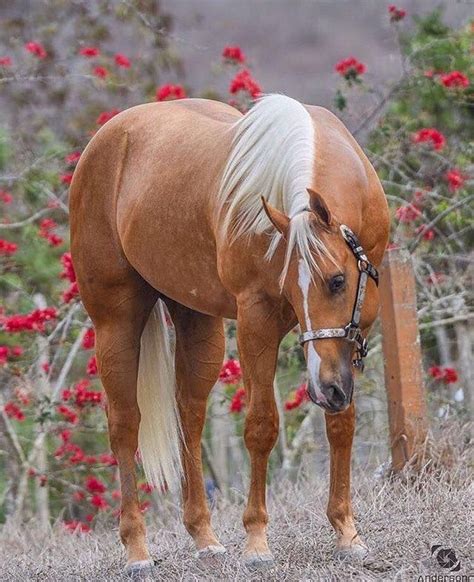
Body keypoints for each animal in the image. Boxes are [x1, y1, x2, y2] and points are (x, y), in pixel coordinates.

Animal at [70, 93, 388, 572]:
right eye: (290, 289)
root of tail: (107, 139)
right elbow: (261, 425)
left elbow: (342, 423)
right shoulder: (257, 320)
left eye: (337, 281)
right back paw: (137, 550)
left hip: (197, 322)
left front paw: (346, 532)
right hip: (115, 323)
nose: (323, 389)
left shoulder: (349, 340)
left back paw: (204, 537)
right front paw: (256, 541)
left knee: (189, 415)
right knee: (125, 424)